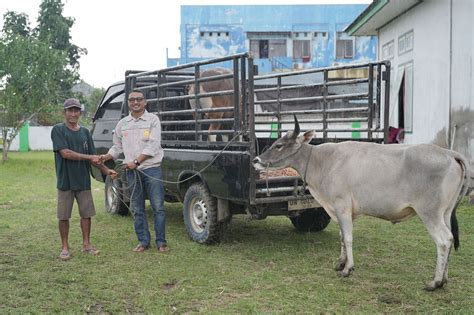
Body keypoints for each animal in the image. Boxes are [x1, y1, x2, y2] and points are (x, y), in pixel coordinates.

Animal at [252, 116, 470, 292]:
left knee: (444, 240)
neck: (322, 161)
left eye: (279, 145)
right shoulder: (340, 210)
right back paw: (444, 279)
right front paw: (340, 263)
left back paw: (435, 282)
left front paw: (347, 269)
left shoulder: (341, 206)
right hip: (445, 213)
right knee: (450, 239)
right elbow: (342, 236)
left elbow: (348, 238)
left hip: (430, 213)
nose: (256, 159)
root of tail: (449, 153)